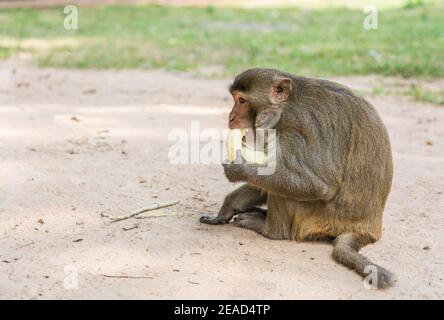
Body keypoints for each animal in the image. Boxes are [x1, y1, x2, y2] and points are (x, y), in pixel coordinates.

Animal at [199, 67, 394, 288]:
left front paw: (238, 168)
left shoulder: (297, 126)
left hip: (318, 219)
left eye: (242, 100)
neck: (286, 105)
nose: (231, 118)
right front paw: (228, 206)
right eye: (235, 99)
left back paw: (270, 230)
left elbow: (317, 186)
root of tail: (369, 229)